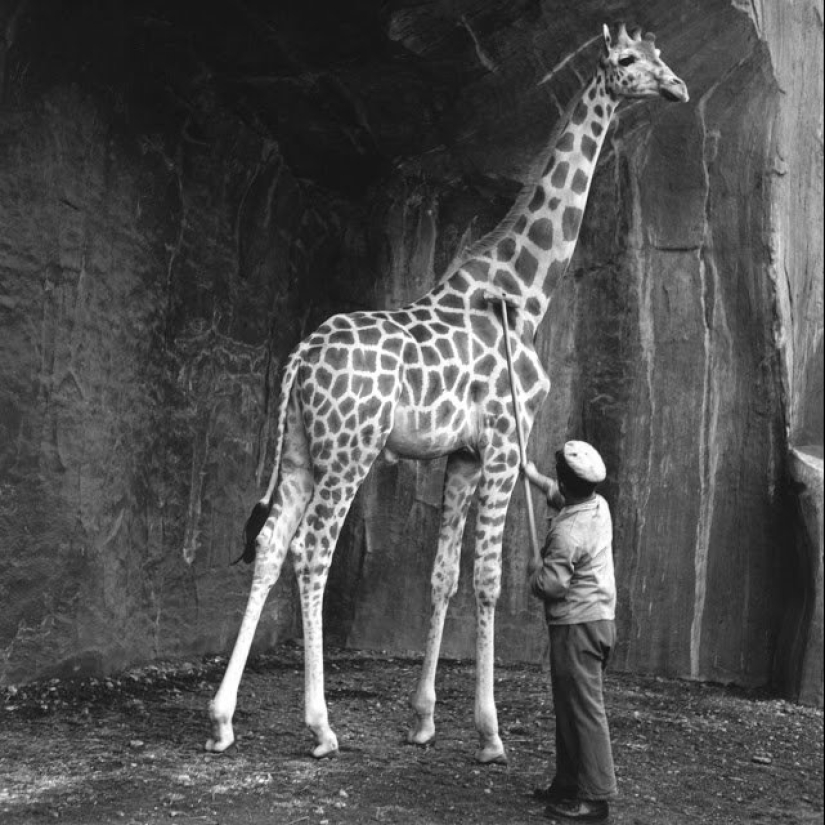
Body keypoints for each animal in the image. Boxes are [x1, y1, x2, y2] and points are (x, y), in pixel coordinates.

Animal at [206, 22, 688, 764]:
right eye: (630, 60)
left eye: (660, 56)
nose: (678, 87)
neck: (525, 294)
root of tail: (299, 358)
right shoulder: (502, 445)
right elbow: (487, 581)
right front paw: (488, 733)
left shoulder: (461, 454)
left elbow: (441, 578)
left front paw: (424, 719)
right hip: (350, 451)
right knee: (311, 552)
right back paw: (320, 726)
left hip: (298, 450)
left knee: (268, 545)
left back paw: (223, 719)